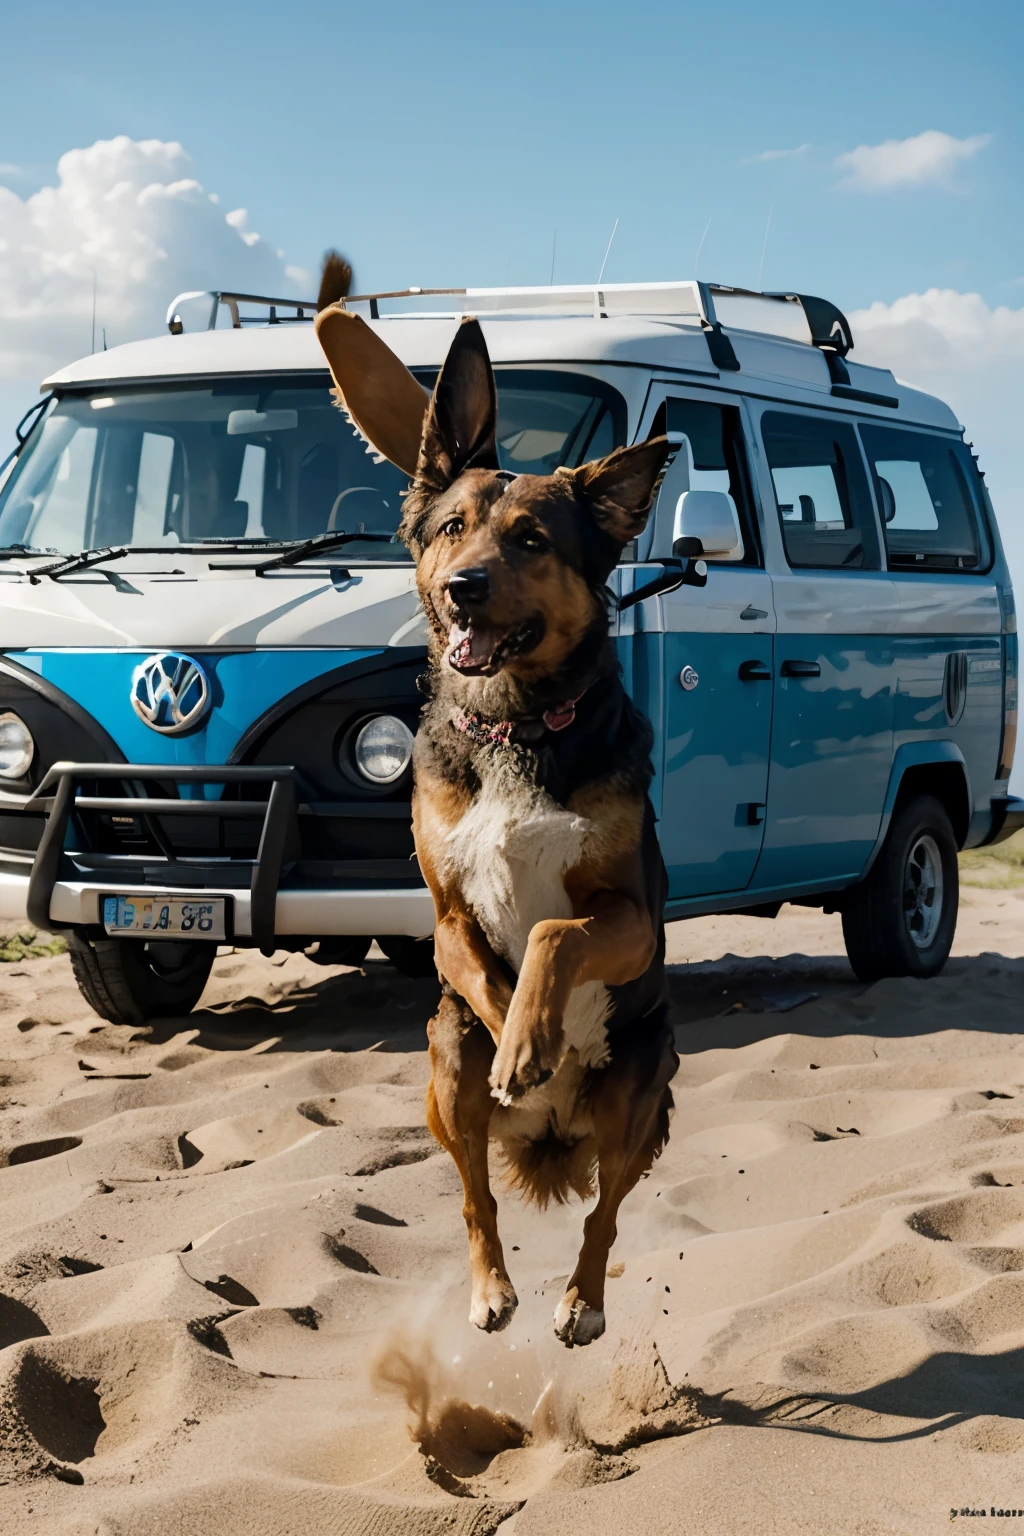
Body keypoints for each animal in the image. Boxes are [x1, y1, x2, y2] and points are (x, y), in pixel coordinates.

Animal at [313, 308, 681, 1345]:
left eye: (531, 540)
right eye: (451, 530)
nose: (465, 588)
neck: (514, 722)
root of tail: (555, 1136)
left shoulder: (630, 919)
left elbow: (555, 930)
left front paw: (531, 1033)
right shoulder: (442, 916)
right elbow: (483, 969)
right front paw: (513, 1032)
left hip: (641, 1080)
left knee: (604, 1214)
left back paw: (581, 1301)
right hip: (444, 1073)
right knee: (476, 1195)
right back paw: (492, 1286)